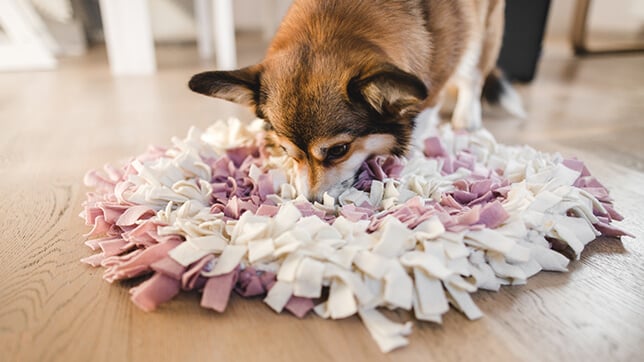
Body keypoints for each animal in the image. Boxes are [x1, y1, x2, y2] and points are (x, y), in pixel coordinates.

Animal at [187, 0, 524, 201]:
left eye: (339, 150)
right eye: (285, 151)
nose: (311, 203)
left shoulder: (432, 88)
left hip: (482, 33)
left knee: (472, 76)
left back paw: (467, 122)